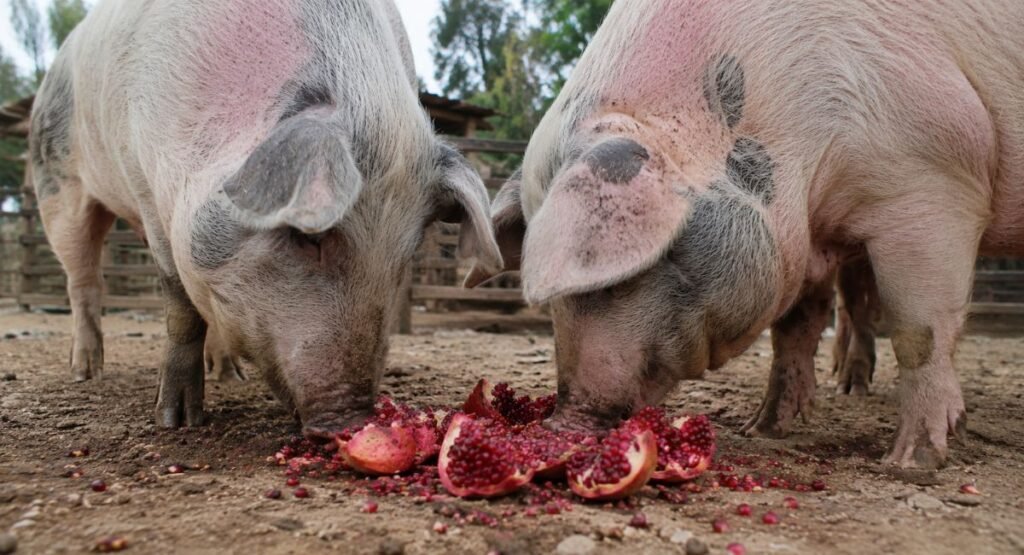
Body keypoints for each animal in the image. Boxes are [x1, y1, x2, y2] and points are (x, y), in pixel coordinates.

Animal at [30, 0, 501, 436]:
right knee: (83, 281)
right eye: (309, 236)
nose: (351, 420)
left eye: (405, 256)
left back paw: (229, 374)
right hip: (56, 181)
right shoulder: (144, 180)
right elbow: (179, 304)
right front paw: (176, 422)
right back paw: (86, 372)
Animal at [466, 0, 1024, 467]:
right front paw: (765, 429)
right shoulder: (802, 234)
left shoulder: (934, 180)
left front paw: (915, 462)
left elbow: (918, 331)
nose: (565, 422)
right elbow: (795, 329)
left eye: (621, 275)